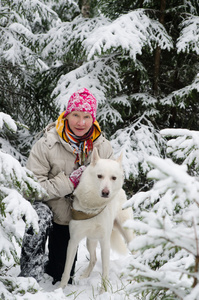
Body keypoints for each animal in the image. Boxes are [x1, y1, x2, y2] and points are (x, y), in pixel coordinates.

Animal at [59, 148, 134, 290]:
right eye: (99, 176)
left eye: (113, 178)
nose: (105, 192)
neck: (92, 207)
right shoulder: (73, 241)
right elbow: (66, 270)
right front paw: (60, 290)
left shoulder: (105, 242)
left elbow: (105, 272)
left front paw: (103, 292)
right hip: (90, 241)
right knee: (93, 259)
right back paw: (85, 275)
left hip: (127, 233)